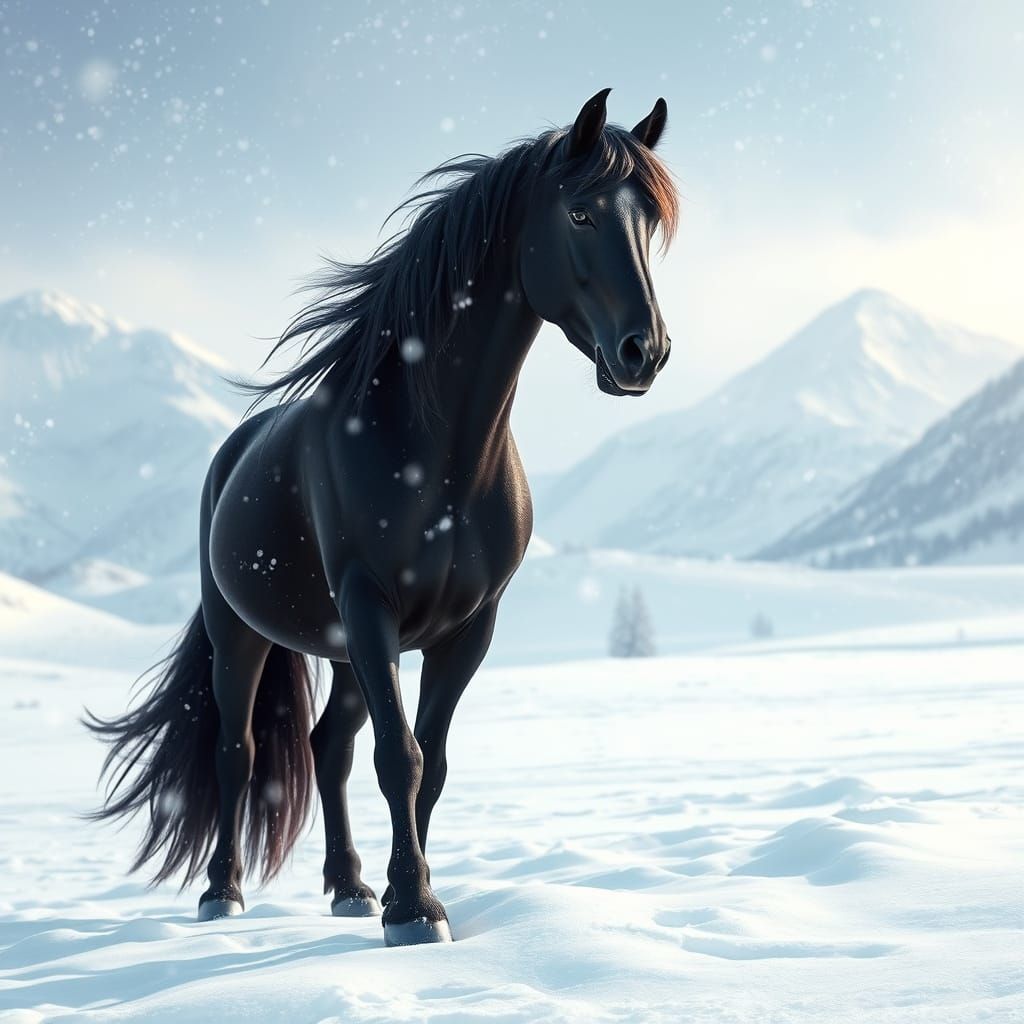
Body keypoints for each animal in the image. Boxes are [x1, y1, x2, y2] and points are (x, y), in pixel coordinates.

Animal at [87, 88, 678, 947]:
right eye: (579, 213)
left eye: (652, 225)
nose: (645, 352)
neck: (437, 448)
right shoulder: (370, 605)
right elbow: (401, 758)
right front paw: (414, 909)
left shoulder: (466, 630)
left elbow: (431, 762)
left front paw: (411, 894)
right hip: (246, 635)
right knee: (237, 752)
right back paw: (222, 893)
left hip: (341, 650)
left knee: (327, 747)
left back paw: (348, 887)